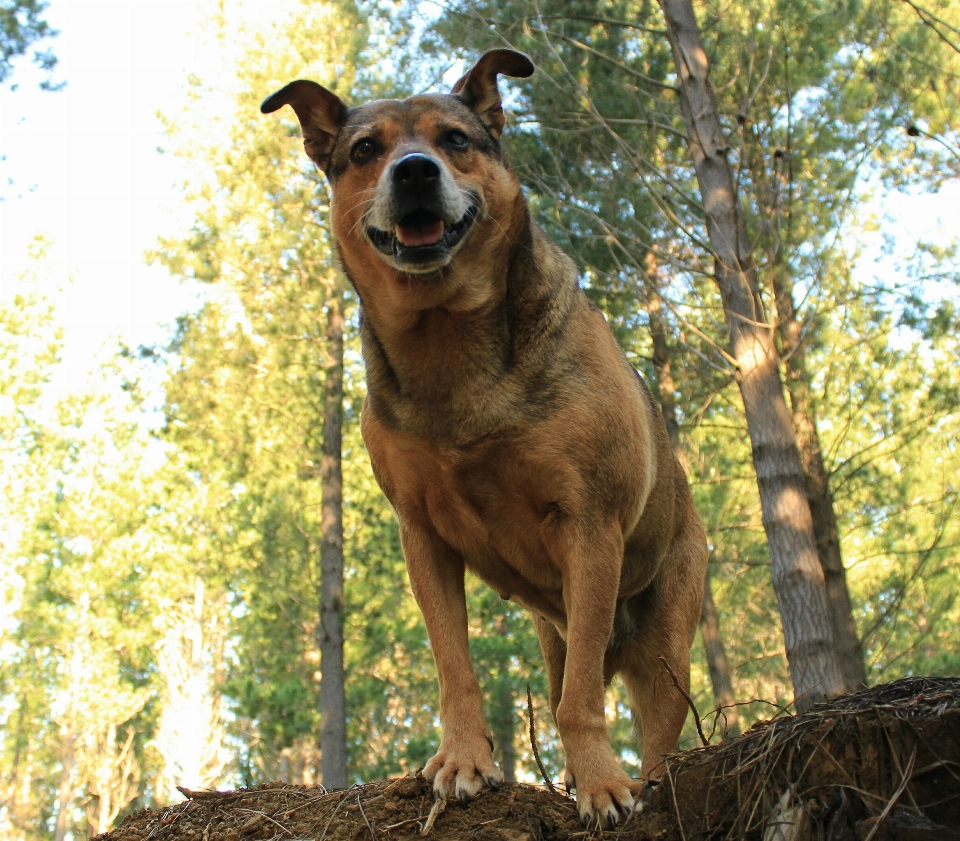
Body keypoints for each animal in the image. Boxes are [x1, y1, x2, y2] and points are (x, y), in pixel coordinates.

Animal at [262, 47, 704, 828]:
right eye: (365, 150)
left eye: (456, 139)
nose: (413, 171)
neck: (448, 338)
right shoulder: (422, 534)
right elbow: (455, 666)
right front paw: (465, 760)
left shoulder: (589, 523)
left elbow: (582, 701)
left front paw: (600, 783)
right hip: (559, 630)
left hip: (664, 641)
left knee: (653, 727)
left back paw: (643, 781)